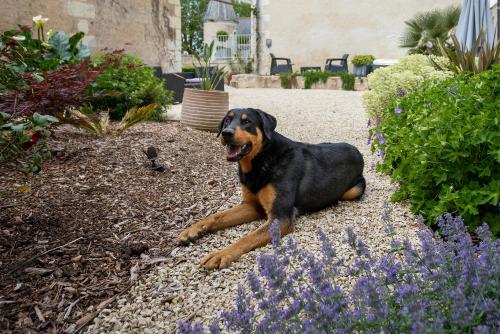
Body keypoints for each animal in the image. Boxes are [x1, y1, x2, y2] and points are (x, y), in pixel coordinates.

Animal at [178, 108, 366, 270]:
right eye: (227, 120)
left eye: (247, 122)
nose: (226, 133)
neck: (260, 160)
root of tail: (357, 150)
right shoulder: (252, 205)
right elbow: (217, 216)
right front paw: (192, 229)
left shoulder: (279, 217)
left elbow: (247, 237)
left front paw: (221, 254)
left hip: (354, 191)